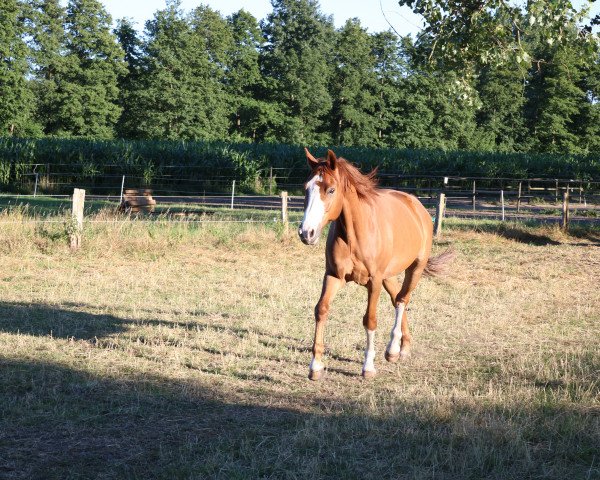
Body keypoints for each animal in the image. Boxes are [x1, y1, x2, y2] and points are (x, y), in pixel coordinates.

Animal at [298, 148, 452, 380]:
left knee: (402, 300)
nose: (306, 233)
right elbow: (321, 310)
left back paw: (393, 349)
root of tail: (416, 205)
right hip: (389, 276)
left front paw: (368, 366)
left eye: (331, 189)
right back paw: (403, 347)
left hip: (414, 269)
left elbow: (370, 319)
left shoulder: (374, 281)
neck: (355, 235)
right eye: (306, 188)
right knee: (397, 298)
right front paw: (315, 366)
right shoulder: (333, 275)